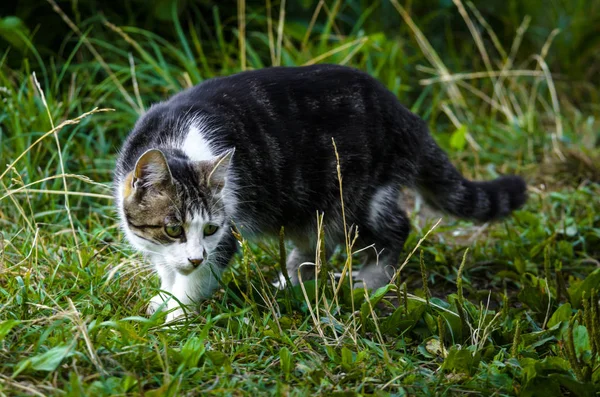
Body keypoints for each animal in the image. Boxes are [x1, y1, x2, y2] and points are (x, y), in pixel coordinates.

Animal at [115, 63, 528, 320]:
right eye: (173, 229)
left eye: (212, 229)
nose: (196, 256)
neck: (177, 143)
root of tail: (402, 112)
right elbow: (167, 267)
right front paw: (164, 295)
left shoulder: (226, 233)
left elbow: (195, 282)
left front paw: (176, 315)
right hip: (305, 202)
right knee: (317, 240)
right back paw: (294, 280)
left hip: (354, 198)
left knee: (394, 227)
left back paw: (370, 281)